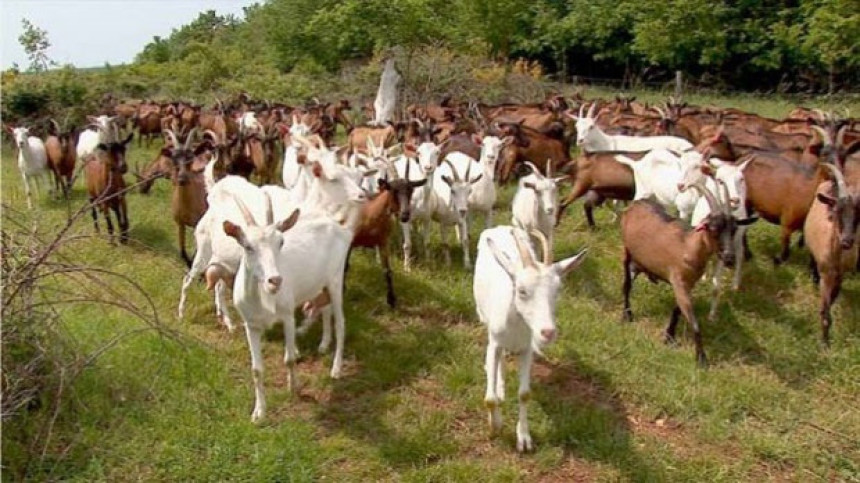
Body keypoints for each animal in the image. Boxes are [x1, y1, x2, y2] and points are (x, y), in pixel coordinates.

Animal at [474, 227, 588, 454]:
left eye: (558, 290)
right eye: (522, 290)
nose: (548, 332)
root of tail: (499, 228)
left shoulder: (527, 349)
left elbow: (524, 394)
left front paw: (524, 438)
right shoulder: (494, 342)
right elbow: (489, 399)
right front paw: (495, 426)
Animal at [620, 183, 756, 364]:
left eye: (734, 230)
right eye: (713, 228)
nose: (729, 258)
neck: (688, 247)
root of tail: (636, 204)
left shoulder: (688, 284)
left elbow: (677, 310)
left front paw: (669, 337)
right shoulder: (678, 281)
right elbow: (693, 321)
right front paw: (701, 359)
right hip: (627, 251)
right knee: (627, 284)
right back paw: (627, 314)